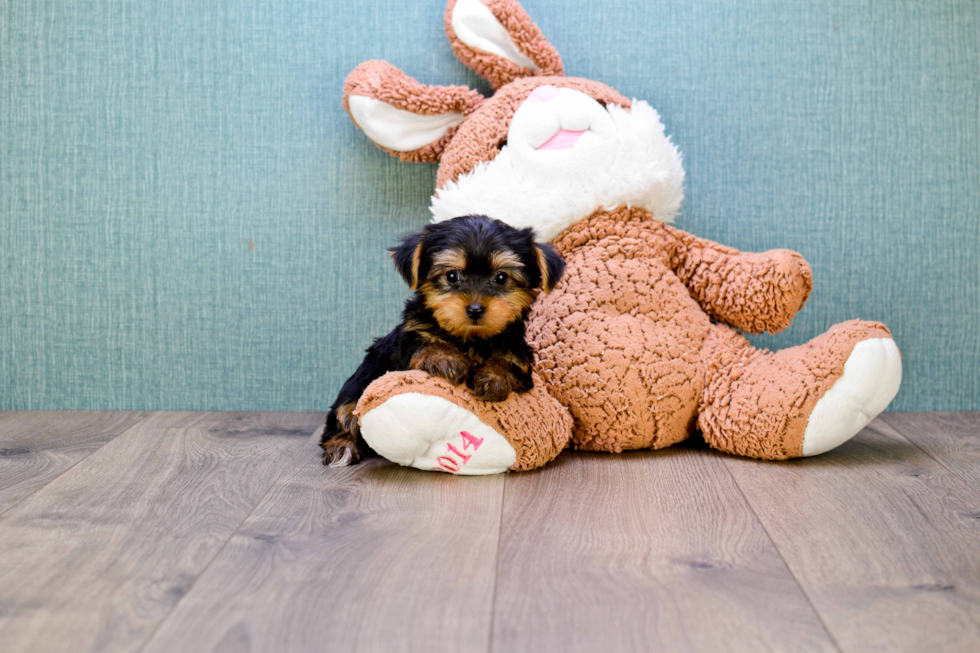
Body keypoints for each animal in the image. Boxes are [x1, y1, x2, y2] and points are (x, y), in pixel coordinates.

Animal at [322, 216, 568, 466]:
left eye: (501, 278)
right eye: (452, 276)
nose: (475, 309)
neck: (472, 339)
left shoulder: (518, 352)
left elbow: (510, 363)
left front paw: (493, 377)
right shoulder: (410, 336)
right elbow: (426, 343)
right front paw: (445, 359)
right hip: (358, 385)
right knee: (343, 415)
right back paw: (341, 446)